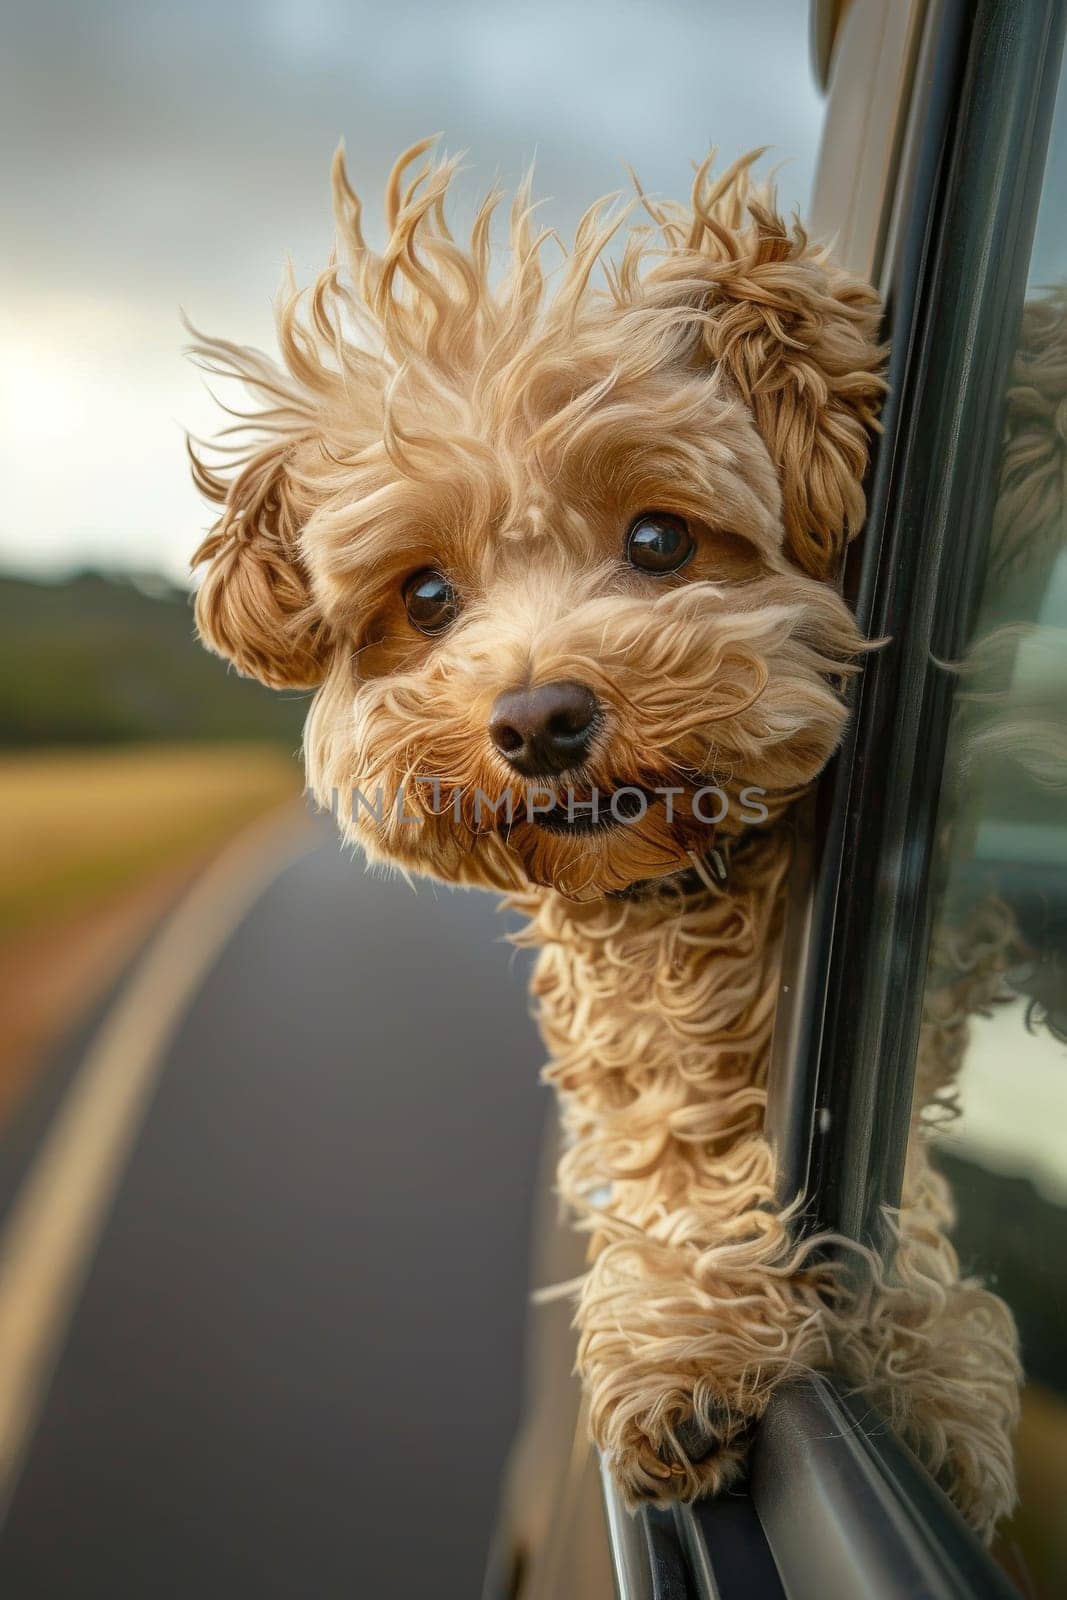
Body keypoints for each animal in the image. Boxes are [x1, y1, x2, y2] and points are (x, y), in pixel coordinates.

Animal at [187, 144, 1023, 1542]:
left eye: (659, 538)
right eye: (427, 596)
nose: (537, 721)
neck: (697, 892)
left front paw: (907, 1355)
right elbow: (682, 1137)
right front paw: (700, 1321)